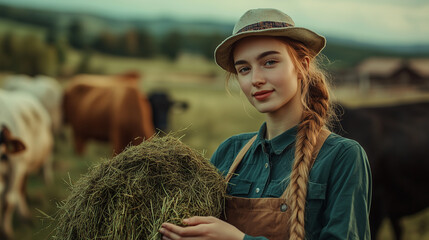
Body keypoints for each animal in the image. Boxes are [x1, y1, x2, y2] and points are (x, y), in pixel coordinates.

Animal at [0, 89, 53, 239]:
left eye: (2, 155)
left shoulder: (16, 168)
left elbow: (8, 201)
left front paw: (6, 232)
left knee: (21, 189)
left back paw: (25, 217)